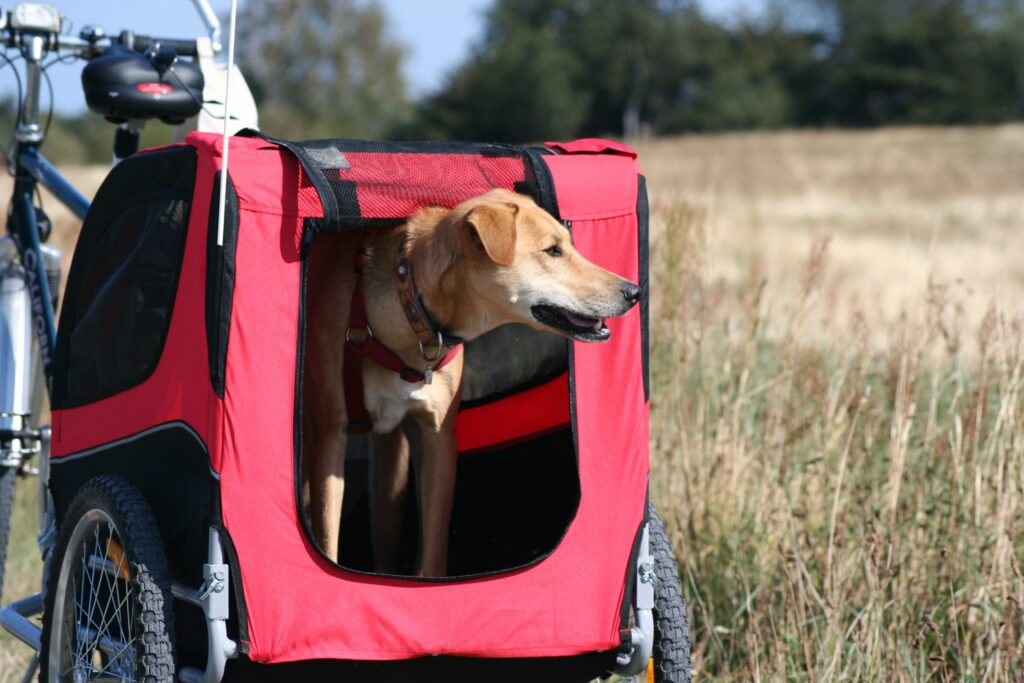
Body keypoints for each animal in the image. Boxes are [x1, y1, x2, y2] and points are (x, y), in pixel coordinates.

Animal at [301, 188, 638, 577]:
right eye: (553, 250)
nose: (634, 291)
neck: (410, 308)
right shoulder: (331, 437)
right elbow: (326, 543)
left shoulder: (438, 439)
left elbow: (433, 551)